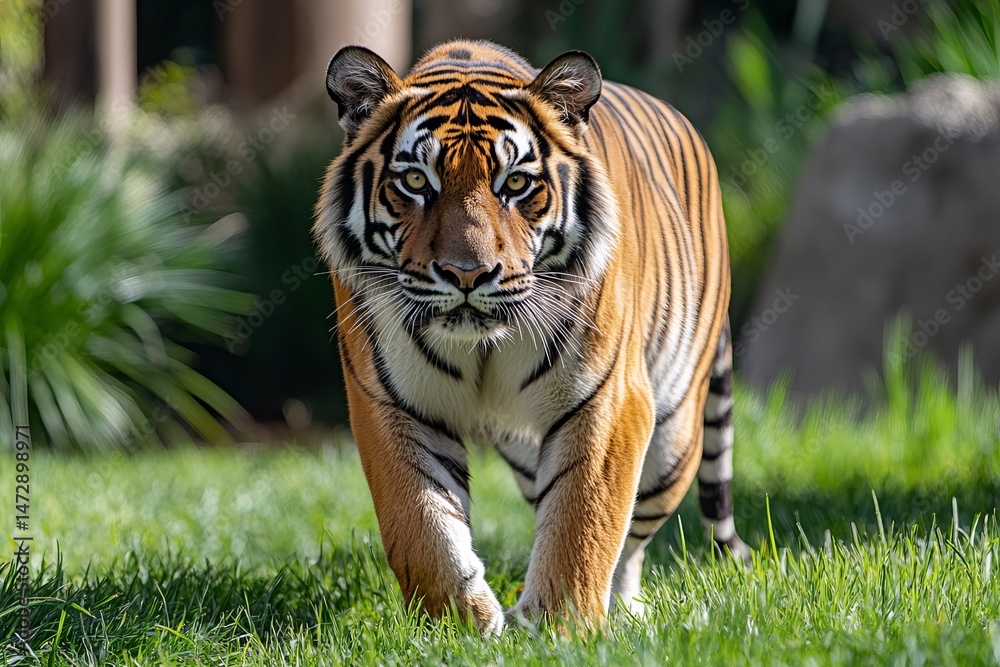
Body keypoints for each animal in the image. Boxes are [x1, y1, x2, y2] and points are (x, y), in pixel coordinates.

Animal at [313, 39, 749, 632]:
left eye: (516, 184)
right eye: (416, 182)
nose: (468, 274)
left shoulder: (606, 398)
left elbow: (583, 522)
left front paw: (559, 627)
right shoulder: (391, 402)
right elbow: (422, 526)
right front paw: (463, 627)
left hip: (673, 443)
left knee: (633, 538)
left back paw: (625, 611)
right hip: (525, 454)